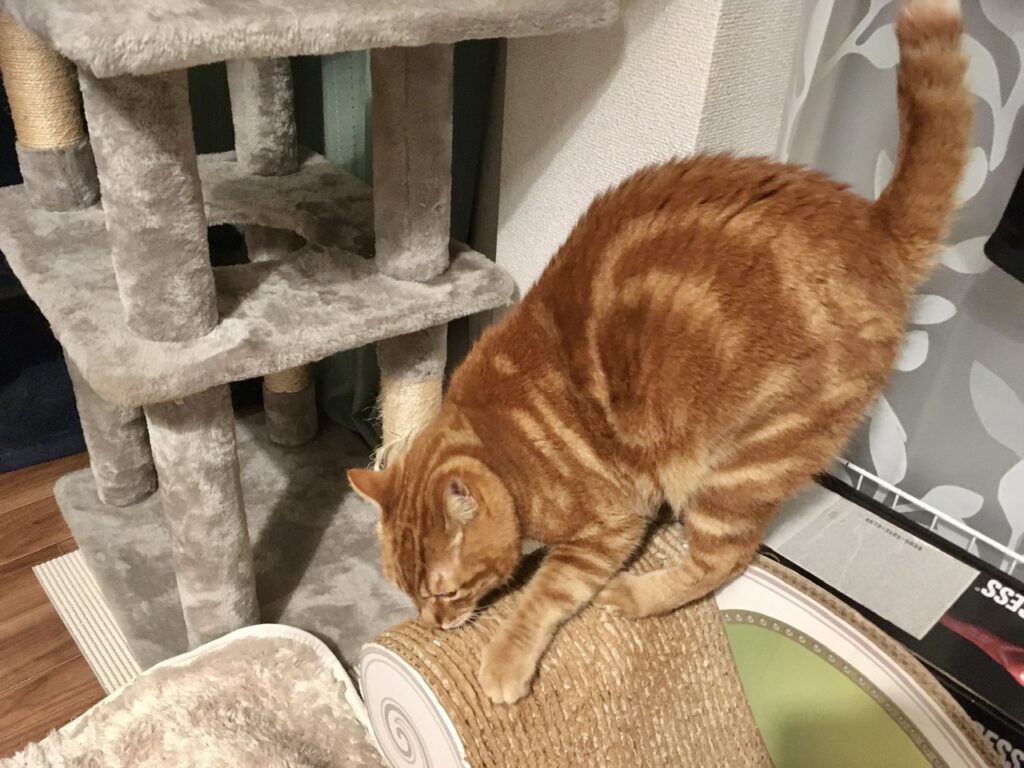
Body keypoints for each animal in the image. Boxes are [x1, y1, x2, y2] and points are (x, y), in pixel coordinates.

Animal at [349, 0, 971, 705]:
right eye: (407, 592)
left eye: (446, 591)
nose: (434, 624)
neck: (503, 444)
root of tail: (874, 228)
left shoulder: (608, 525)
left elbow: (544, 594)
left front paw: (504, 661)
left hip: (737, 467)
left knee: (725, 557)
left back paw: (639, 596)